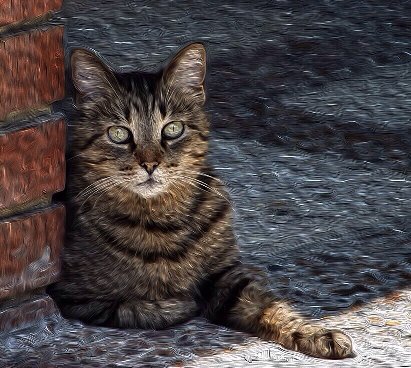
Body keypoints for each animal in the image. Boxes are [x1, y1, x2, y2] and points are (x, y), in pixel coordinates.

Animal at [45, 42, 354, 360]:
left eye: (173, 129)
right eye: (118, 133)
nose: (150, 164)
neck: (160, 218)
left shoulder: (227, 275)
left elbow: (271, 306)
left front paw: (316, 332)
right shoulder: (72, 297)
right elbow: (139, 309)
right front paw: (177, 302)